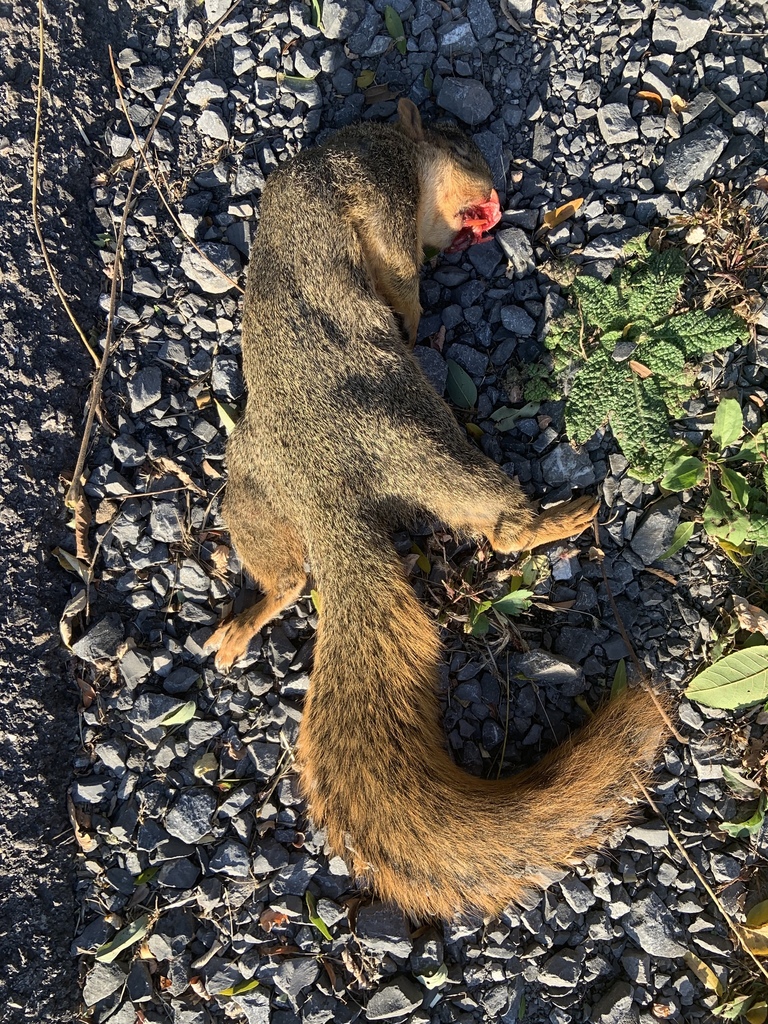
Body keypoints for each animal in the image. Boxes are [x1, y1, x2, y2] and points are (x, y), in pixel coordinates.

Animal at [208, 99, 667, 917]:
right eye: (467, 152)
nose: (481, 227)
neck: (398, 148)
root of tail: (326, 504)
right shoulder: (381, 184)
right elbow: (397, 272)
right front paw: (416, 313)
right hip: (417, 437)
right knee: (495, 522)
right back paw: (556, 519)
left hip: (252, 496)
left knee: (289, 575)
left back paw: (247, 618)